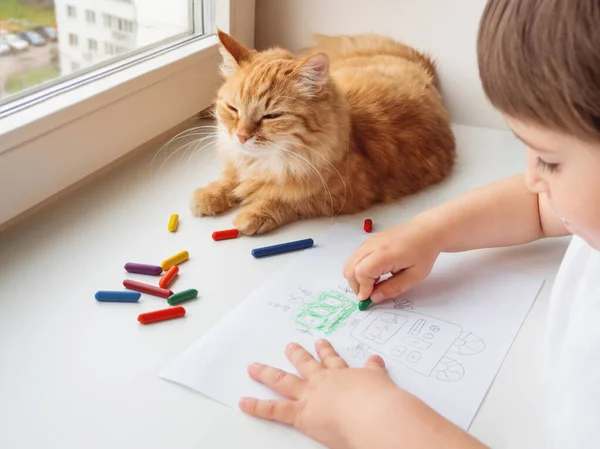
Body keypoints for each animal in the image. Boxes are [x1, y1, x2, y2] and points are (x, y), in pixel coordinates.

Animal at [192, 31, 454, 234]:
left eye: (271, 116)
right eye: (233, 109)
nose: (241, 136)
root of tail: (423, 67)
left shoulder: (342, 196)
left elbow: (288, 200)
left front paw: (254, 214)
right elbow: (230, 176)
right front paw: (209, 195)